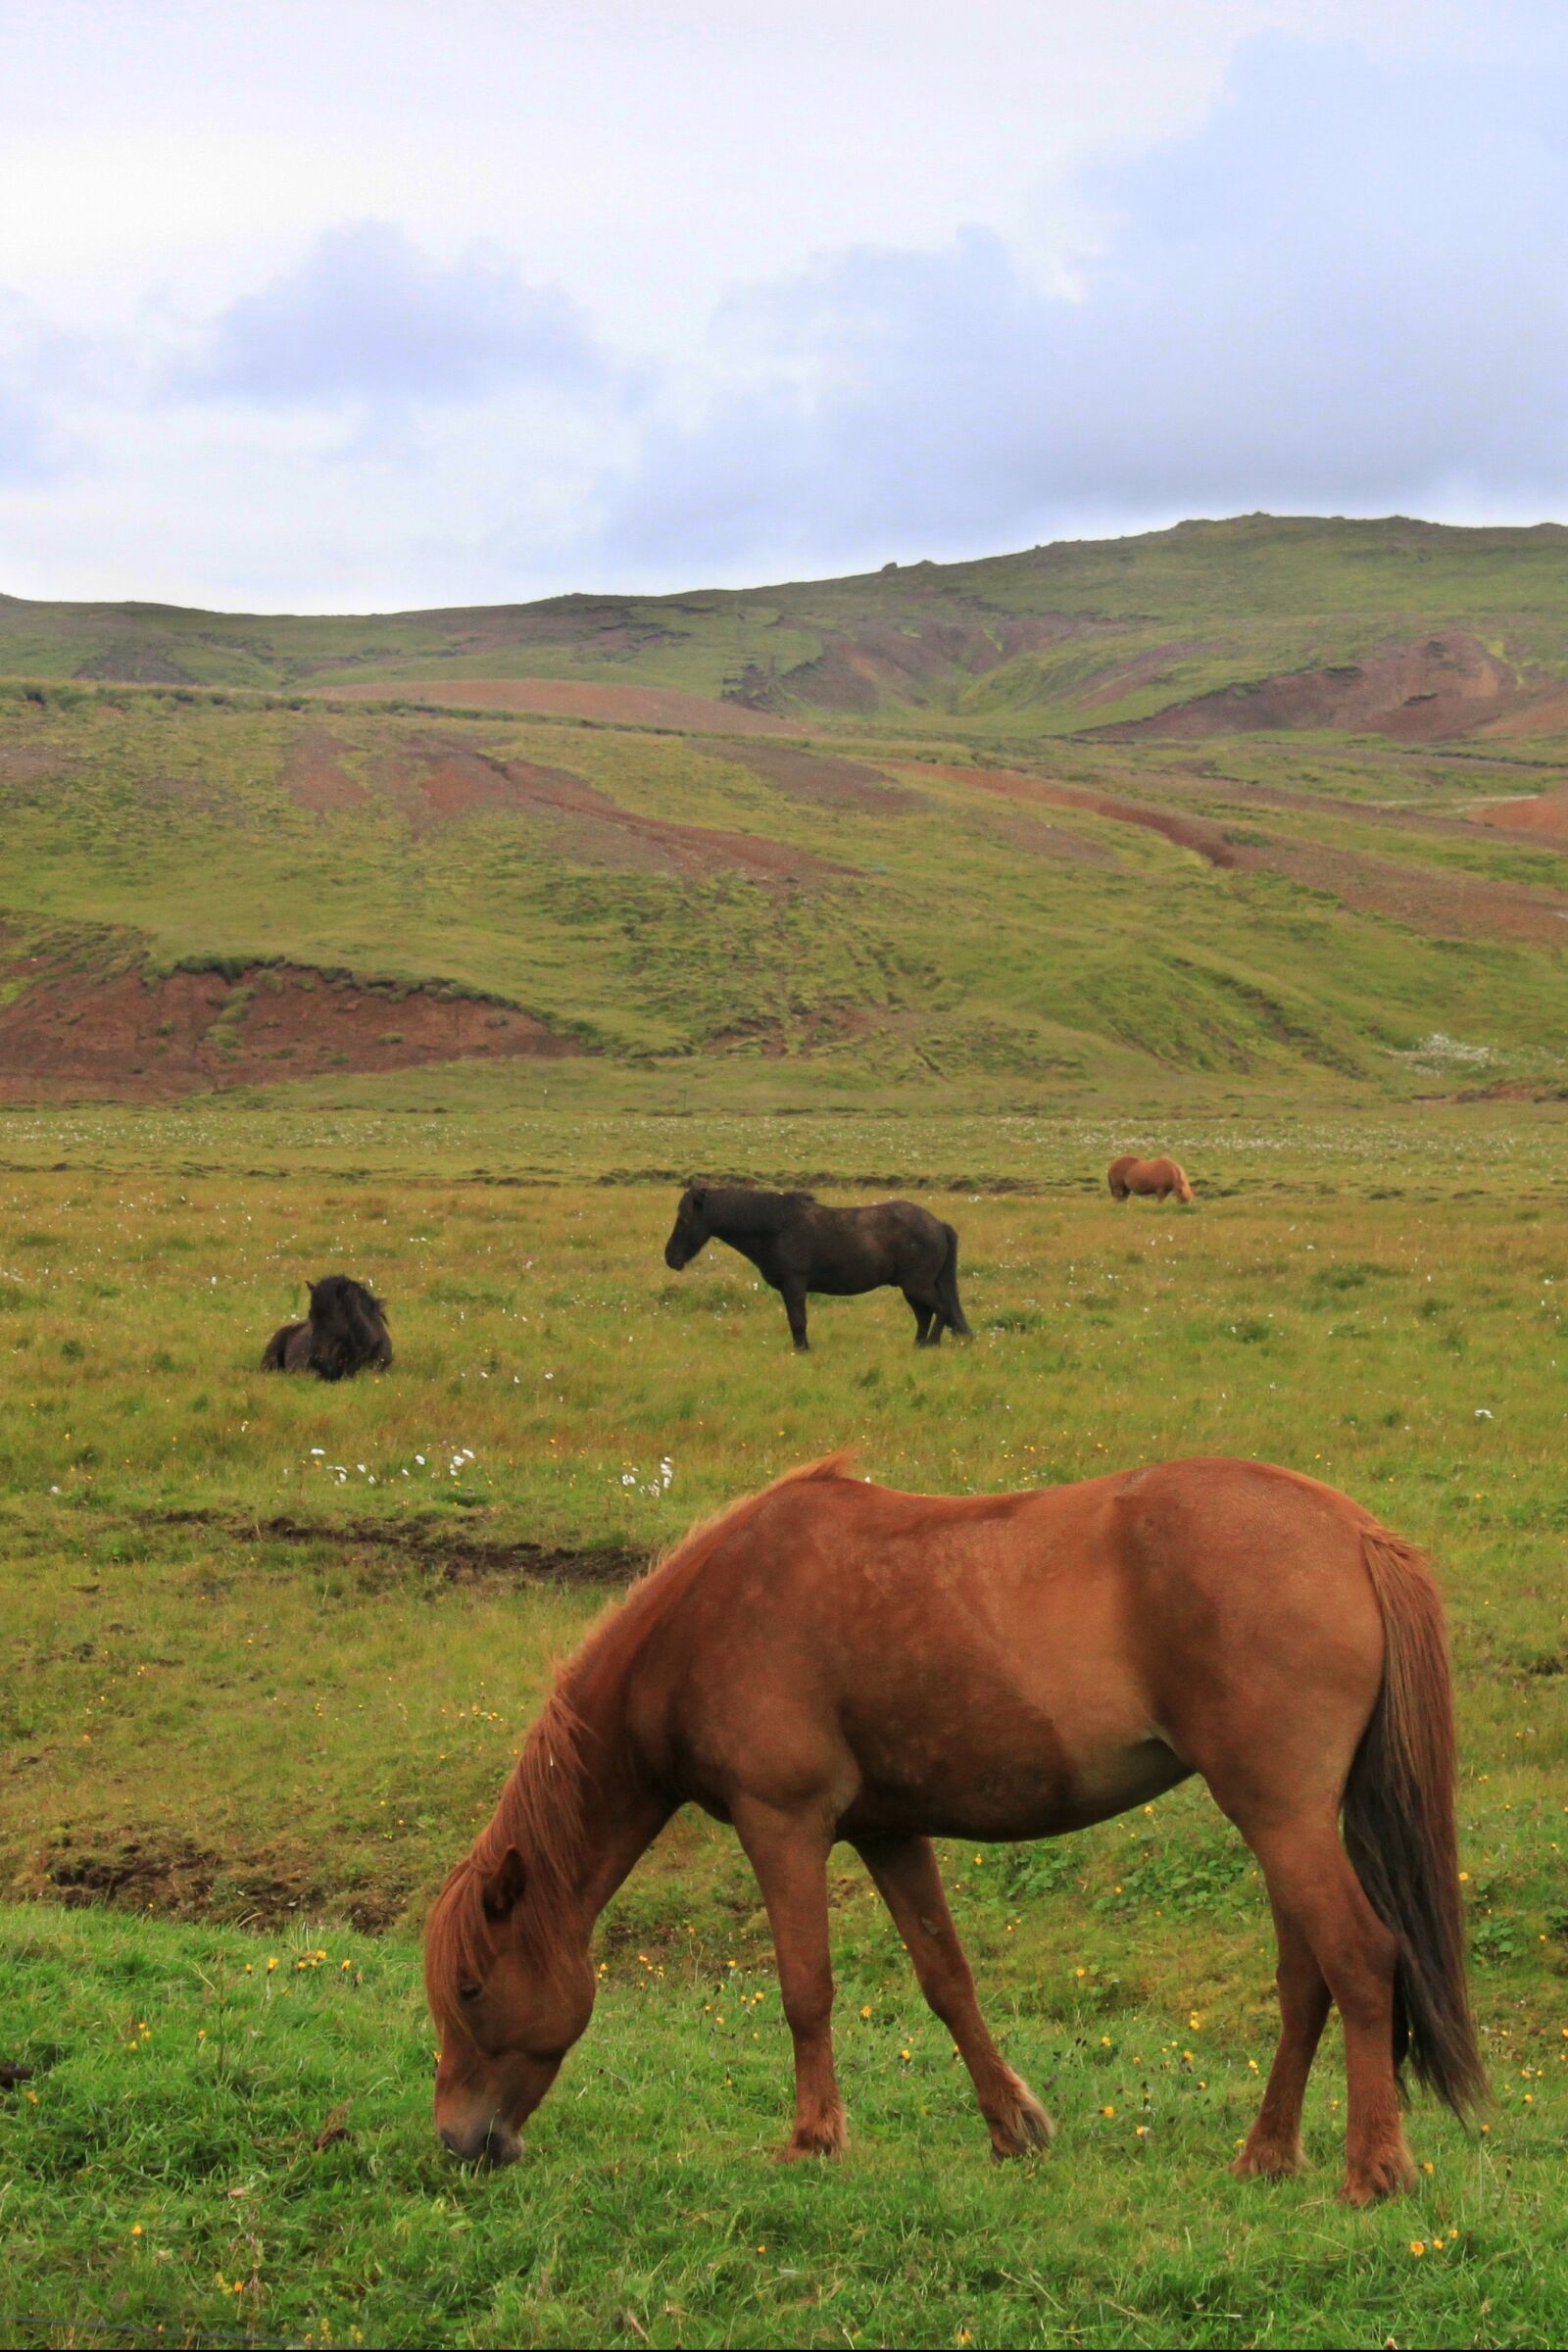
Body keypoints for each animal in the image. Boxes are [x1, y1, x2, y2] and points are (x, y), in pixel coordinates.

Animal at [425, 1453, 1483, 2204]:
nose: (456, 2141)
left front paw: (814, 2138)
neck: (707, 1622)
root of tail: (1352, 1533)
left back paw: (1372, 2170)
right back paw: (1266, 2153)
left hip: (1280, 1814)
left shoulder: (783, 1825)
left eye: (472, 1988)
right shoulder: (889, 1834)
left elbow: (806, 1990)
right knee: (1305, 1979)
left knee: (1358, 1958)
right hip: (1284, 1820)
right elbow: (947, 1981)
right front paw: (1013, 2126)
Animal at [662, 1184, 970, 1350]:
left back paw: (931, 1344)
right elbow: (794, 1321)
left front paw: (803, 1350)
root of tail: (937, 1224)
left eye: (684, 1219)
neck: (776, 1228)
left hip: (917, 1285)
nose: (670, 1257)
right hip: (912, 1287)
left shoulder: (794, 1284)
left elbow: (798, 1320)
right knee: (926, 1314)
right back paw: (918, 1345)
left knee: (941, 1310)